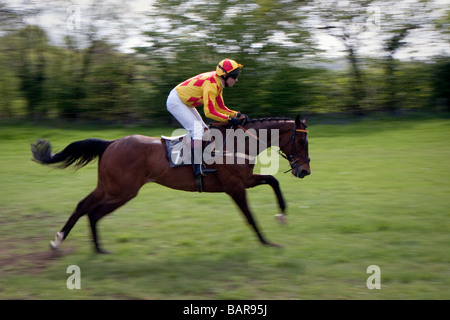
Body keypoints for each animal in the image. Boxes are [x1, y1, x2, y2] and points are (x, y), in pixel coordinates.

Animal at [31, 116, 310, 254]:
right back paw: (88, 246)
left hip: (110, 187)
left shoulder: (245, 181)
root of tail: (111, 143)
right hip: (122, 190)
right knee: (93, 211)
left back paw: (68, 243)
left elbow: (273, 180)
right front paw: (267, 242)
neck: (238, 143)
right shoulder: (235, 187)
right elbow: (250, 217)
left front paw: (282, 215)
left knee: (85, 207)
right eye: (302, 142)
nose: (305, 171)